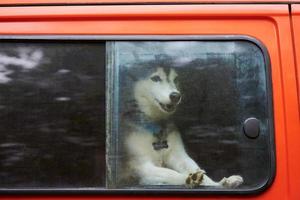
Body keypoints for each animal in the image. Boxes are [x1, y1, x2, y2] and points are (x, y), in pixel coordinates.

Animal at [118, 60, 244, 188]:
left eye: (175, 79)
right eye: (155, 78)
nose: (176, 96)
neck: (157, 125)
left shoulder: (178, 155)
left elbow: (195, 168)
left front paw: (217, 183)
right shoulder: (142, 167)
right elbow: (172, 174)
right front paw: (193, 179)